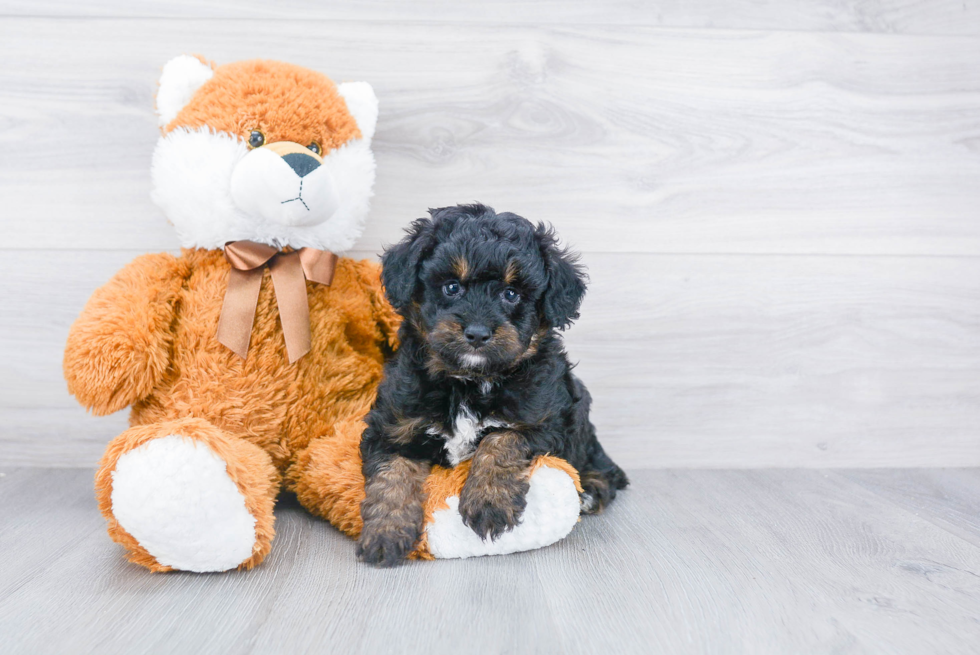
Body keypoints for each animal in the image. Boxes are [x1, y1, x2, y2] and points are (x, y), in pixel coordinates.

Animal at [356, 202, 624, 568]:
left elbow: (501, 439)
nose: (478, 333)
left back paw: (592, 490)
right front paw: (386, 532)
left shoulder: (547, 423)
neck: (468, 381)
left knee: (602, 466)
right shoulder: (392, 426)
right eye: (451, 287)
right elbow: (391, 473)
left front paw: (489, 501)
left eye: (511, 294)